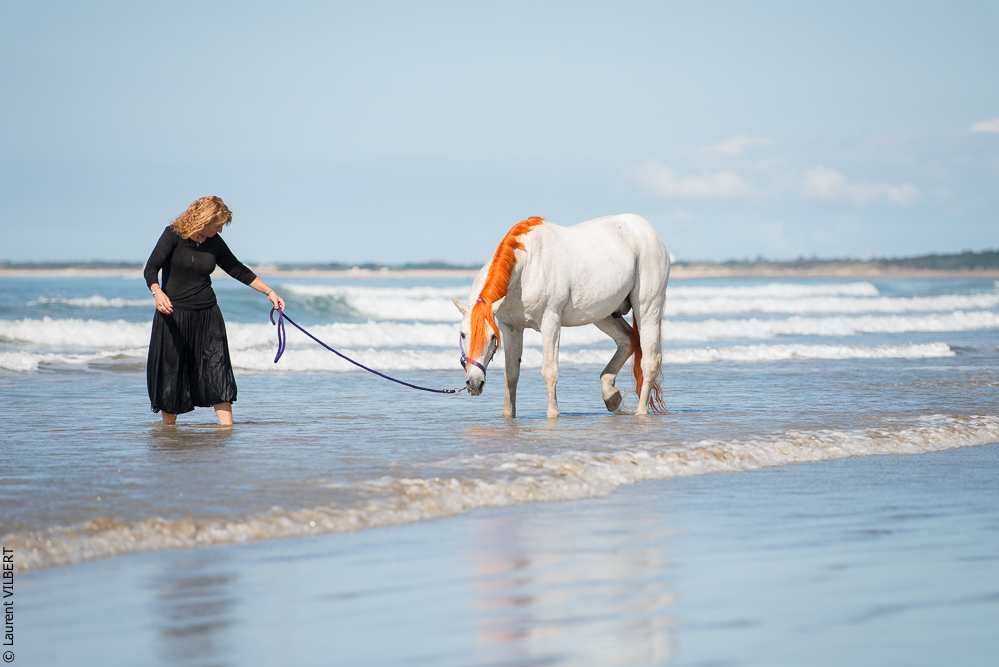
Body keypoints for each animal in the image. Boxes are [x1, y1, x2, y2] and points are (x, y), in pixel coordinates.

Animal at [451, 214, 670, 418]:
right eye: (462, 334)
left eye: (492, 337)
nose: (474, 383)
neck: (527, 267)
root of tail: (647, 230)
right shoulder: (511, 328)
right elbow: (511, 374)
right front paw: (508, 415)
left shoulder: (550, 322)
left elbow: (549, 371)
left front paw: (553, 414)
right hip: (603, 314)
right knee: (627, 339)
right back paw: (610, 394)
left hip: (647, 308)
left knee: (650, 360)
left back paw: (640, 412)